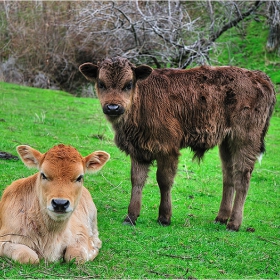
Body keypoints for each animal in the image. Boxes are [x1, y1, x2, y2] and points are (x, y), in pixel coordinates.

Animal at [79, 55, 276, 231]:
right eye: (101, 83)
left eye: (128, 84)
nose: (113, 107)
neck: (142, 99)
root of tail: (260, 77)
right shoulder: (138, 151)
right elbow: (137, 180)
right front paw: (130, 217)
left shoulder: (167, 149)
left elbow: (164, 180)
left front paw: (164, 217)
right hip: (227, 142)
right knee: (229, 176)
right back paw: (220, 218)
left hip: (245, 140)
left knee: (242, 177)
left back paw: (233, 224)